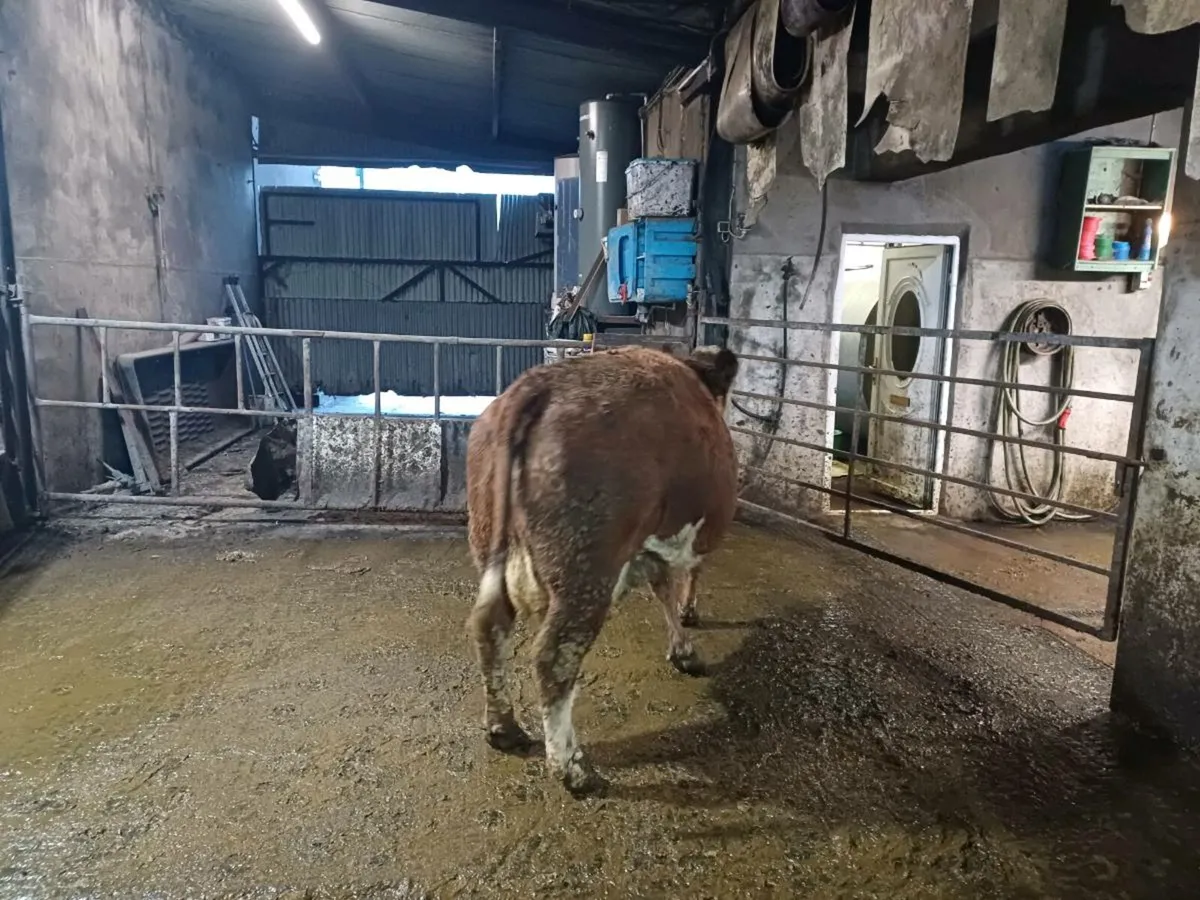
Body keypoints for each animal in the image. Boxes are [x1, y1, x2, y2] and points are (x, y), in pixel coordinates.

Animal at [465, 344, 739, 796]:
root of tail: (535, 387)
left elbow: (662, 584)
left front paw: (682, 648)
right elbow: (683, 577)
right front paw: (688, 626)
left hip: (490, 542)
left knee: (490, 626)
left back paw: (504, 728)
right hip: (586, 570)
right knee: (554, 656)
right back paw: (573, 769)